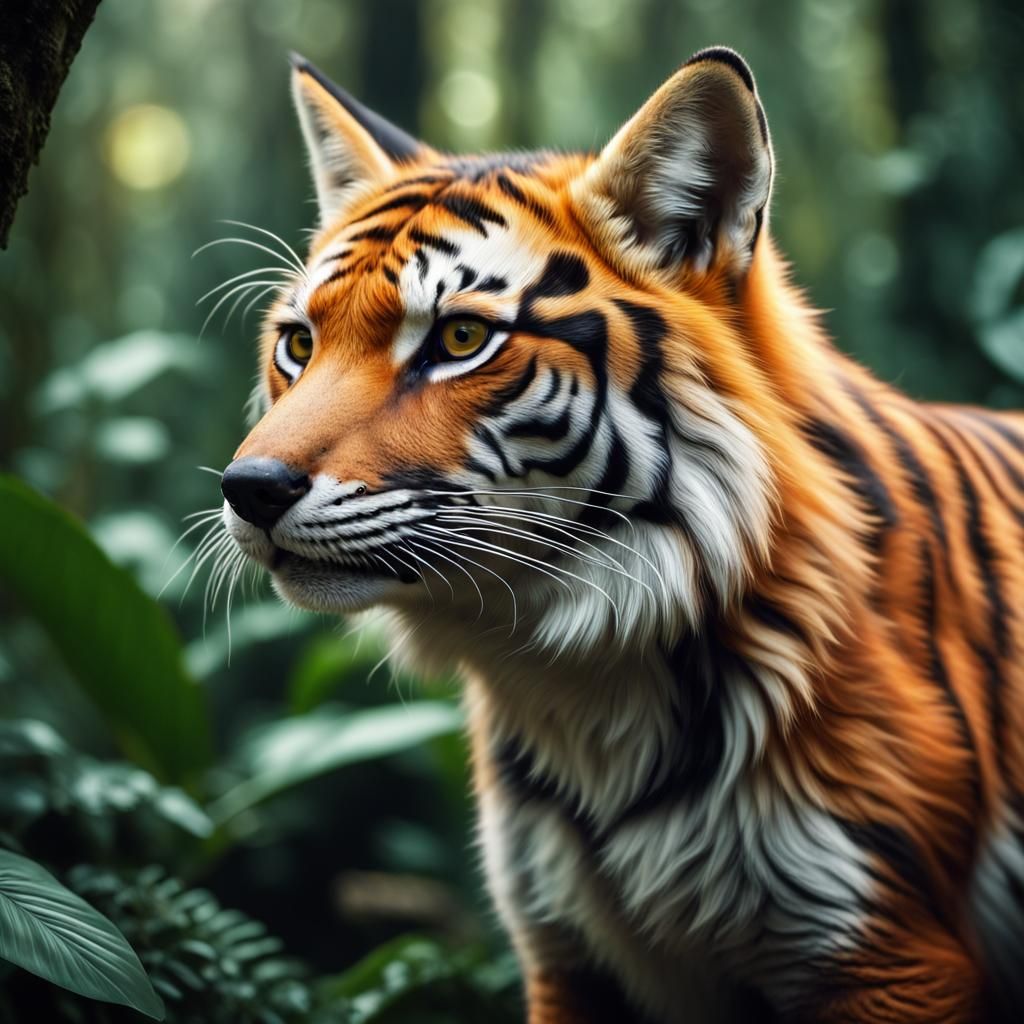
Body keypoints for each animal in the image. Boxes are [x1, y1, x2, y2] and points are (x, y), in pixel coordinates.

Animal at [216, 46, 1024, 1023]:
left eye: (460, 338)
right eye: (299, 344)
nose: (248, 489)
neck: (580, 681)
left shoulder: (889, 957)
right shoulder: (566, 952)